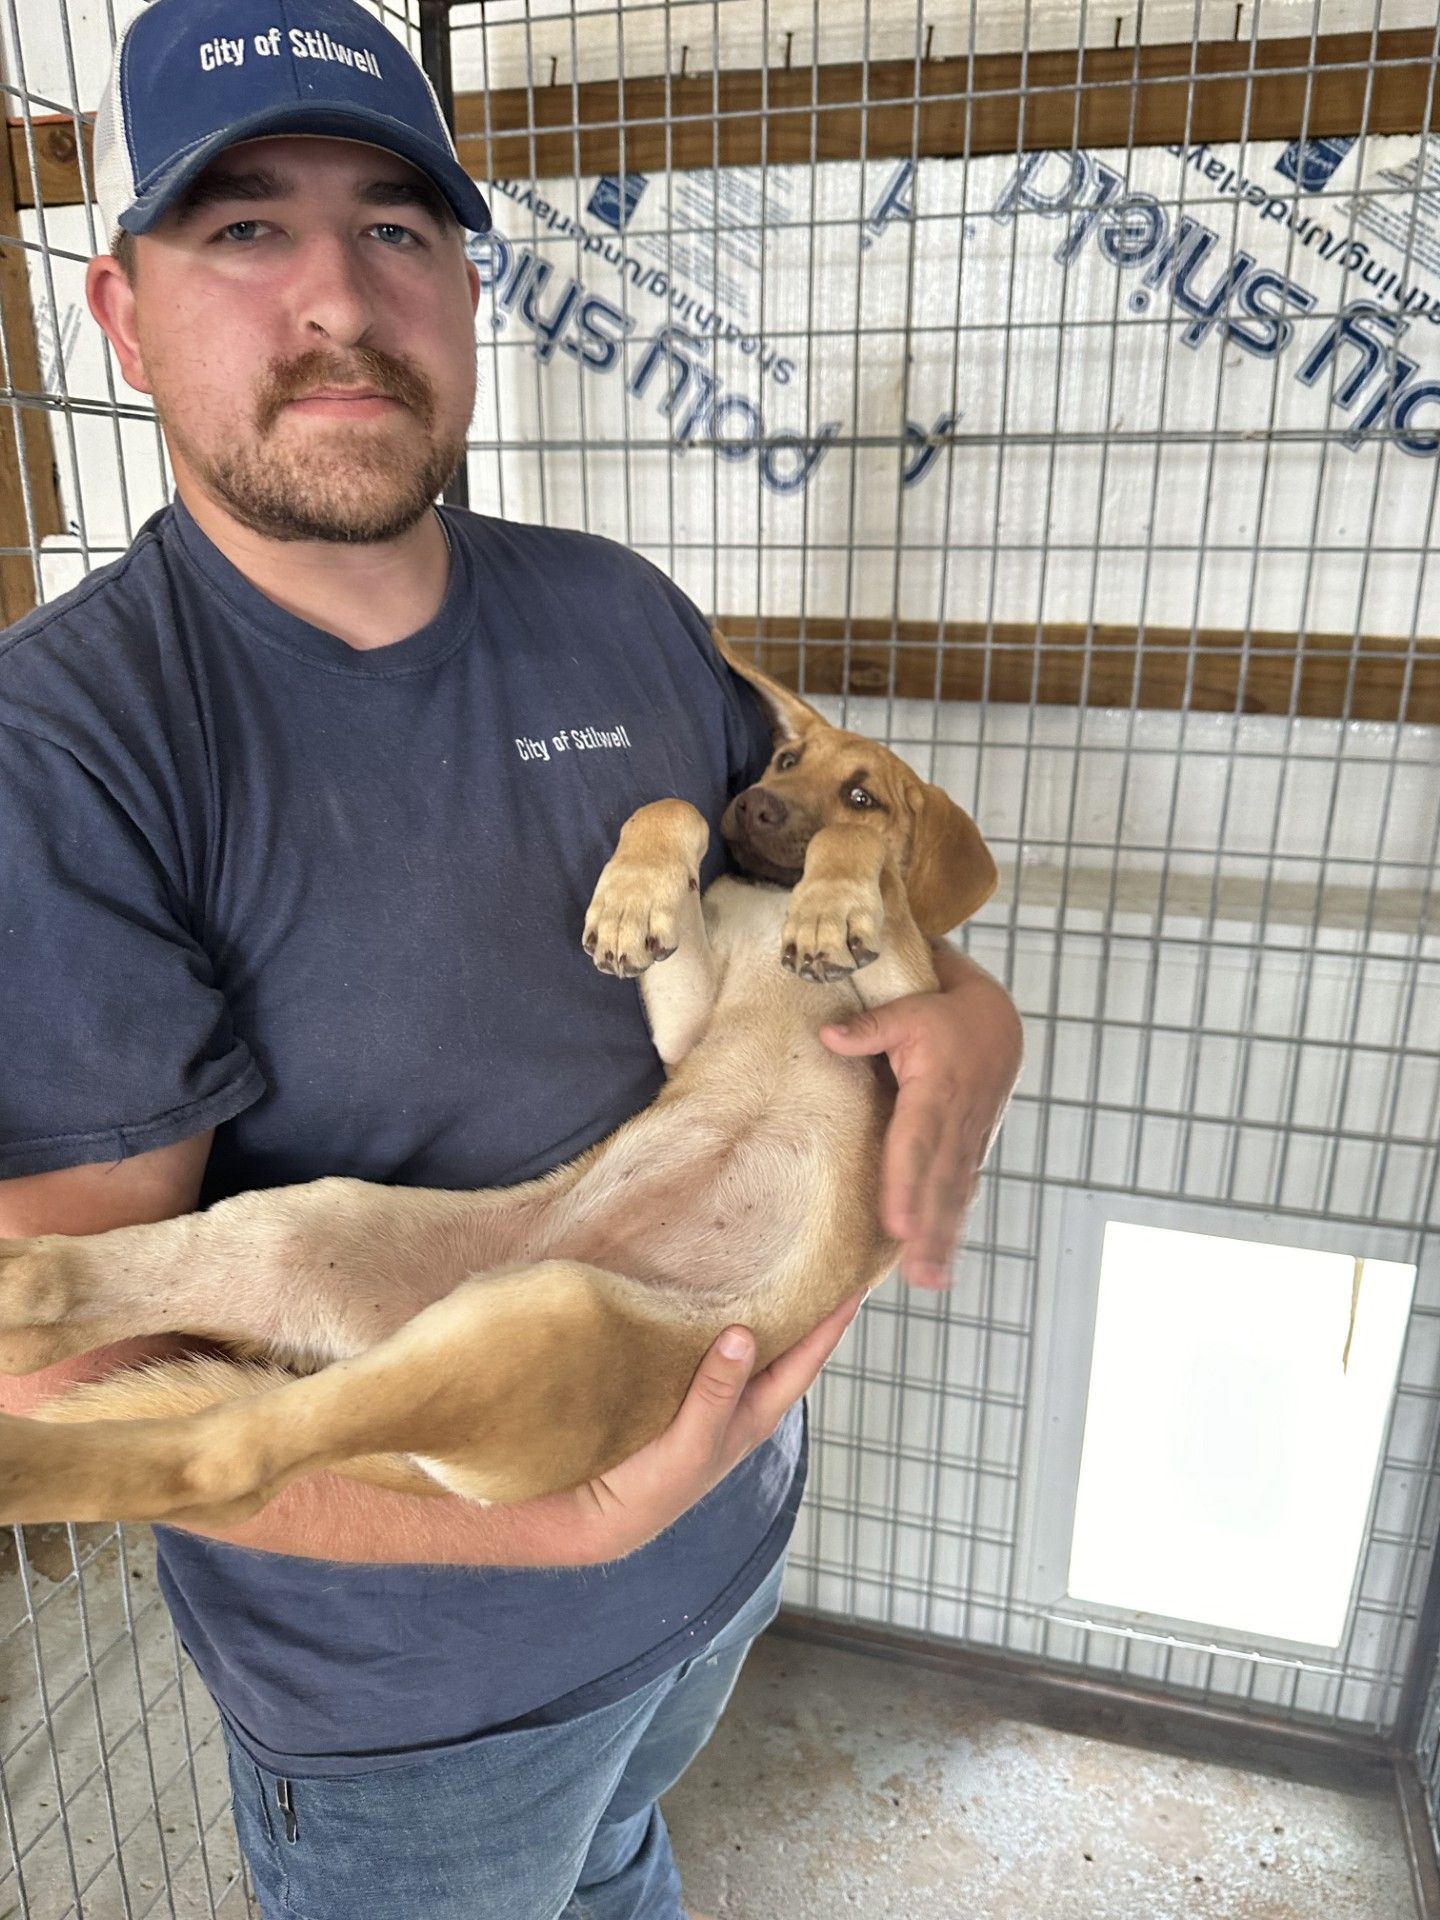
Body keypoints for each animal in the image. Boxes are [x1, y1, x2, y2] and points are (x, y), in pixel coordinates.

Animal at [0, 641, 990, 1528]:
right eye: (786, 761)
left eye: (861, 790)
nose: (752, 803)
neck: (768, 900)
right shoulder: (689, 1018)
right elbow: (670, 807)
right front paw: (634, 893)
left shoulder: (905, 1017)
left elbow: (862, 859)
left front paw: (831, 903)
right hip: (314, 1233)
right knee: (97, 1310)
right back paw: (22, 1287)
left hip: (534, 1325)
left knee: (227, 1461)